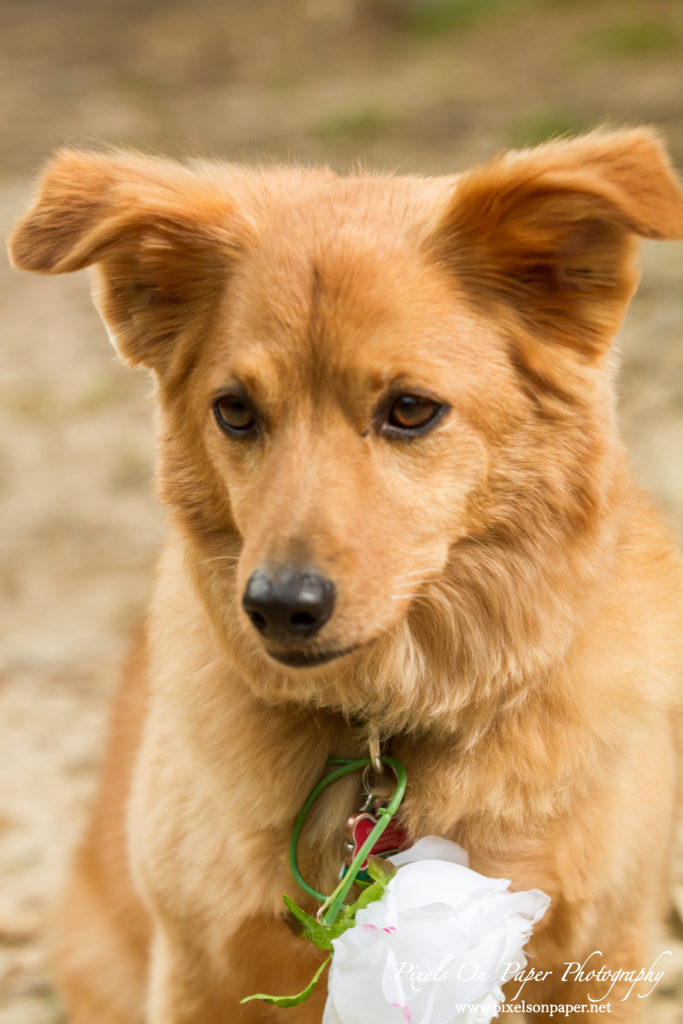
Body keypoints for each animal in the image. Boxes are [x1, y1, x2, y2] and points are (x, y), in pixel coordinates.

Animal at [7, 130, 683, 1024]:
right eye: (234, 410)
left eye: (410, 409)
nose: (277, 606)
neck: (388, 721)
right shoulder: (200, 972)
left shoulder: (599, 962)